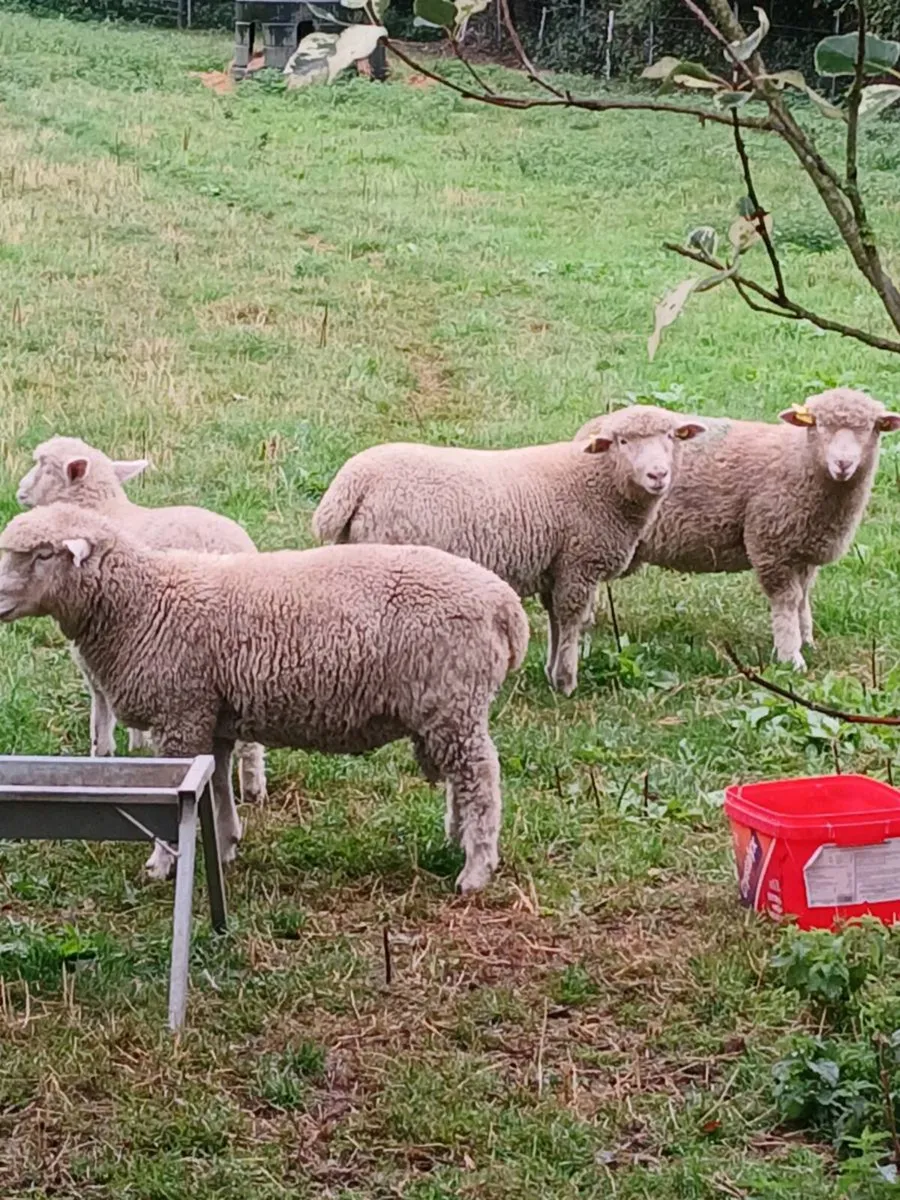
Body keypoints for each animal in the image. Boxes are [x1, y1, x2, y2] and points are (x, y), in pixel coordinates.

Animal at [0, 503, 530, 894]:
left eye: (43, 556)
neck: (143, 603)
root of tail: (505, 607)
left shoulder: (180, 713)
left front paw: (163, 863)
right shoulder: (210, 716)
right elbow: (215, 786)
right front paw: (226, 844)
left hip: (454, 700)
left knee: (480, 779)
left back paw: (476, 868)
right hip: (446, 710)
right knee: (462, 780)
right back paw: (456, 841)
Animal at [16, 435, 266, 803]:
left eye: (44, 465)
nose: (19, 491)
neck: (103, 512)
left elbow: (100, 709)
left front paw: (103, 755)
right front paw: (140, 742)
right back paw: (254, 787)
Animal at [312, 405, 706, 696]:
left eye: (671, 436)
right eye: (622, 441)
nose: (658, 475)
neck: (597, 481)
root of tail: (353, 480)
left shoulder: (555, 565)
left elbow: (555, 617)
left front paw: (551, 671)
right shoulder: (579, 562)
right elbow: (572, 619)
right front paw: (566, 682)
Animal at [575, 389, 900, 670]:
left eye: (870, 428)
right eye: (818, 424)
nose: (843, 463)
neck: (799, 459)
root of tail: (590, 430)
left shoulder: (803, 550)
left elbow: (803, 598)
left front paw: (807, 640)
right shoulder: (771, 546)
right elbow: (787, 601)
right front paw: (790, 657)